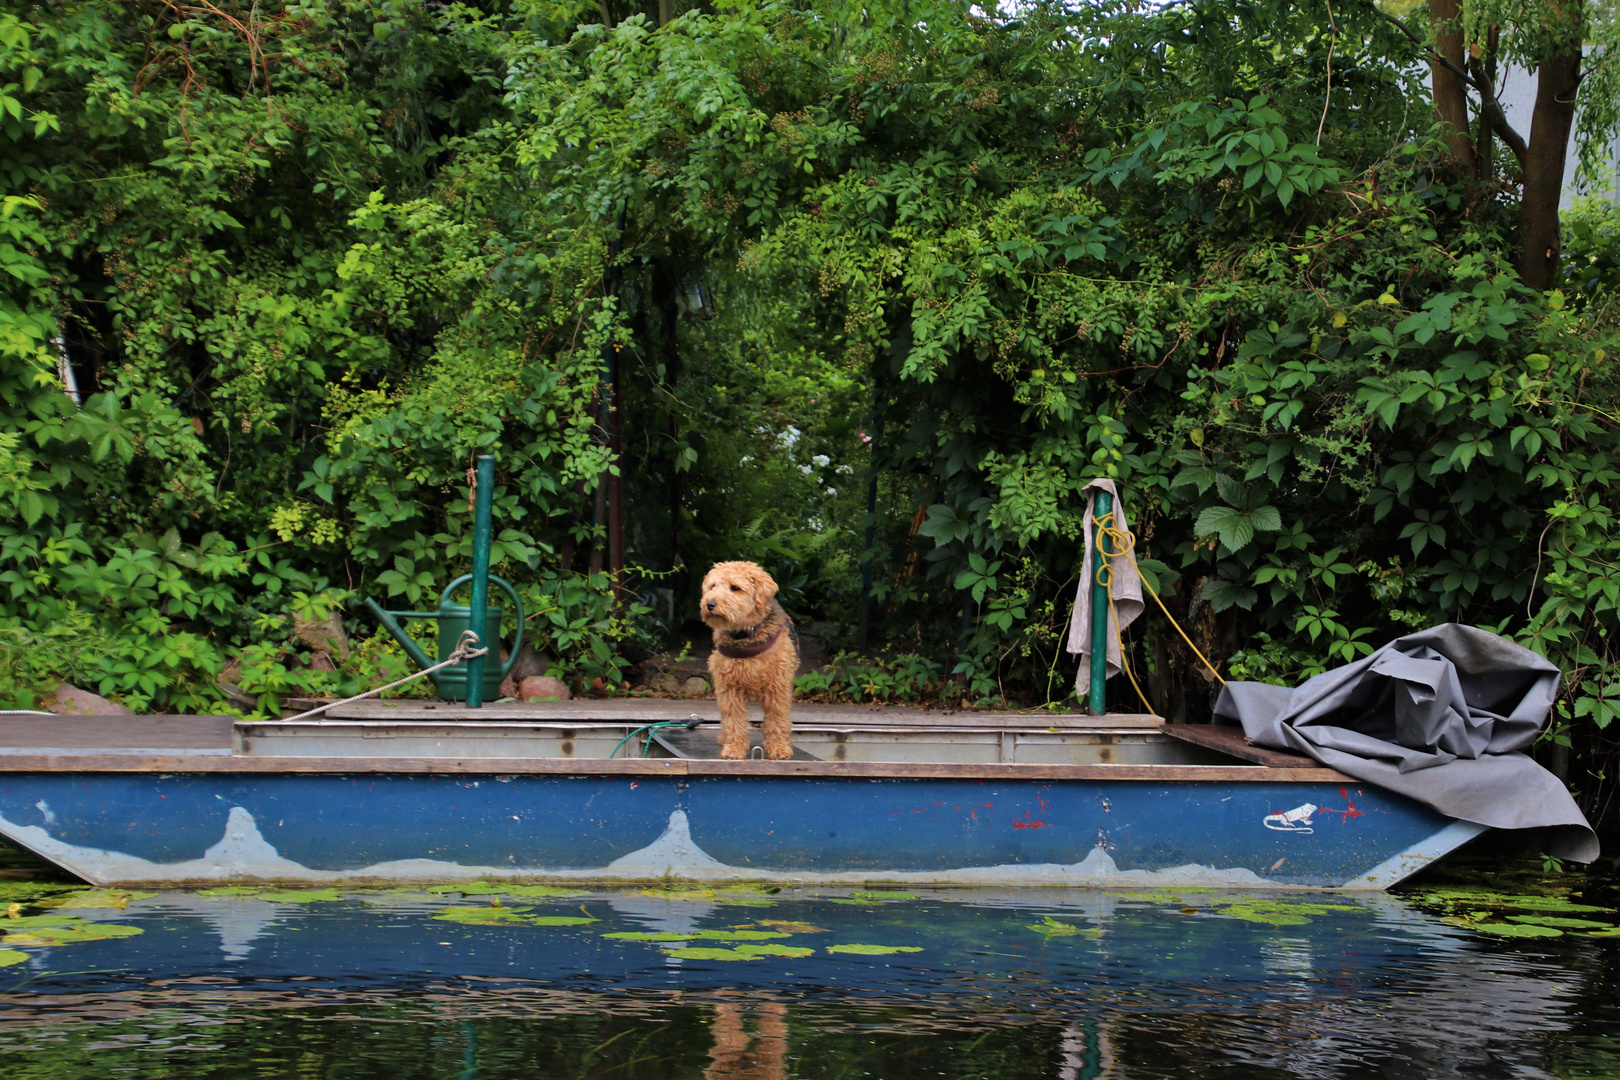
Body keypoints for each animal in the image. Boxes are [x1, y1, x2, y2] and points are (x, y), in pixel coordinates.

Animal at [699, 563, 800, 764]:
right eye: (712, 586)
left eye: (735, 587)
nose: (710, 604)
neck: (745, 635)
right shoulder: (729, 688)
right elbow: (733, 720)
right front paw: (734, 748)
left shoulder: (777, 688)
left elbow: (777, 718)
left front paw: (779, 748)